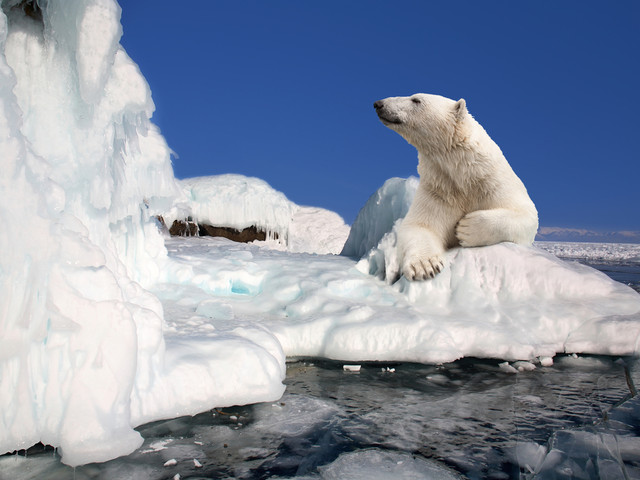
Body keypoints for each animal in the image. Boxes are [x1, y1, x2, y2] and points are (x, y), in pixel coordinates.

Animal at [372, 93, 536, 282]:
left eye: (416, 100)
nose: (379, 104)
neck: (465, 177)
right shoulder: (439, 190)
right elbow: (420, 225)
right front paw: (425, 266)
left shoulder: (494, 183)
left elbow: (525, 214)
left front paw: (466, 228)